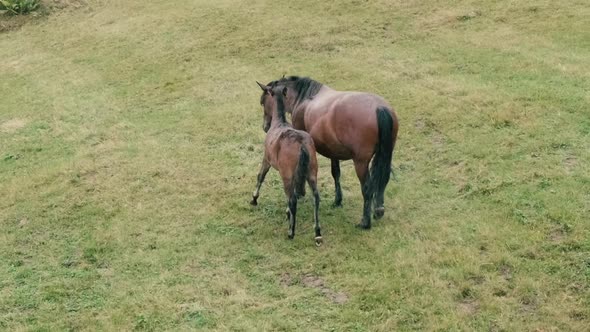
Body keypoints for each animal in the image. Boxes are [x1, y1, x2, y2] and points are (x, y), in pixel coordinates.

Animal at [251, 84, 324, 243]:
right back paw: (317, 232)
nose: (265, 126)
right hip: (311, 173)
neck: (280, 122)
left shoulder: (267, 160)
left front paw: (254, 198)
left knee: (293, 200)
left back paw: (291, 232)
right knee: (315, 197)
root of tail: (301, 144)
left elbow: (260, 176)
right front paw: (287, 213)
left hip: (287, 175)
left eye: (262, 102)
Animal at [258, 76, 400, 230]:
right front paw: (338, 200)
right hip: (384, 156)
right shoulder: (333, 152)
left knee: (367, 188)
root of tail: (380, 108)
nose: (265, 127)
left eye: (263, 102)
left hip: (360, 163)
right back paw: (378, 210)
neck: (304, 98)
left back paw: (365, 222)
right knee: (383, 179)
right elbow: (336, 173)